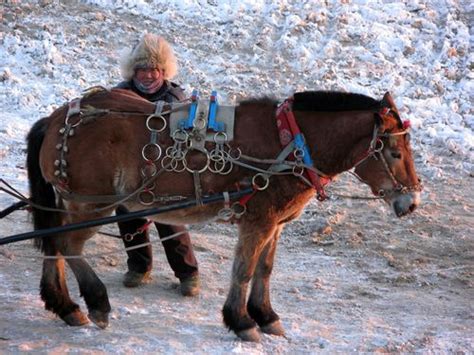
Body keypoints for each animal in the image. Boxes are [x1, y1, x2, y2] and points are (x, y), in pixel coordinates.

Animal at [25, 88, 420, 342]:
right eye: (395, 152)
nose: (412, 202)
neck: (291, 142)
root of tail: (57, 118)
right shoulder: (259, 221)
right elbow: (244, 270)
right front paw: (242, 321)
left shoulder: (275, 224)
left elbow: (265, 269)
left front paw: (266, 316)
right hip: (92, 204)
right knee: (67, 244)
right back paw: (96, 303)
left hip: (71, 202)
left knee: (53, 244)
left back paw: (64, 305)